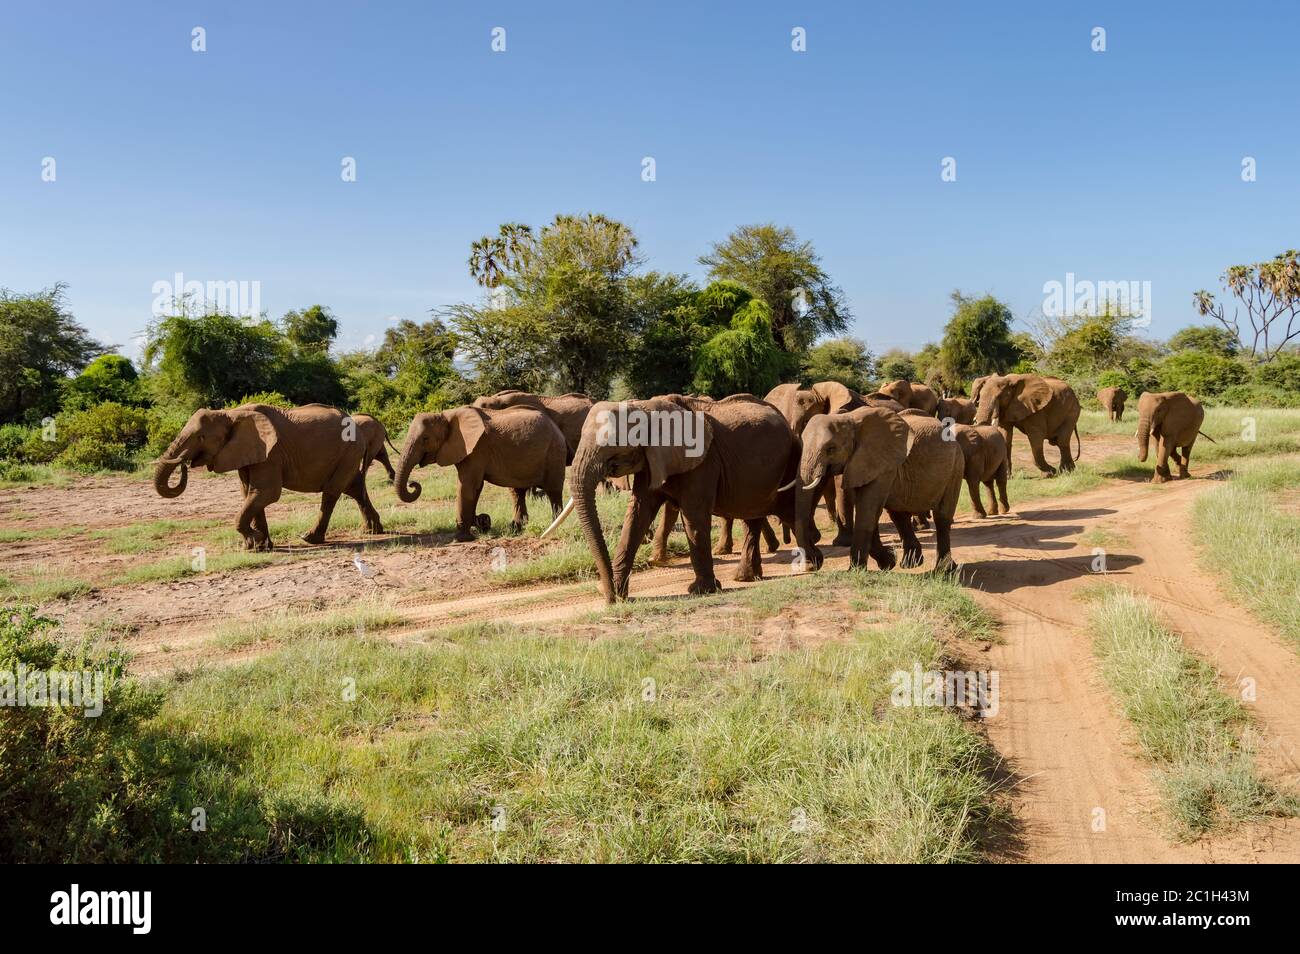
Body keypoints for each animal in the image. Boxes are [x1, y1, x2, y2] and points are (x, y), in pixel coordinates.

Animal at [154, 405, 392, 553]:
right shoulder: (248, 453)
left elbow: (266, 492)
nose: (184, 464)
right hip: (349, 453)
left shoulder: (271, 454)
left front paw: (255, 541)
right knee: (354, 487)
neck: (230, 414)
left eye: (201, 437)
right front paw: (260, 546)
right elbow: (250, 493)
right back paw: (372, 531)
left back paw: (310, 538)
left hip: (349, 450)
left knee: (332, 491)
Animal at [390, 402, 564, 540]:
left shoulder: (477, 449)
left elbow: (467, 487)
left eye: (425, 439)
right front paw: (481, 523)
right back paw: (516, 528)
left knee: (553, 490)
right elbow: (476, 488)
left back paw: (554, 524)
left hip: (554, 452)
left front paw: (461, 538)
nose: (413, 484)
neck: (447, 415)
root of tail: (555, 426)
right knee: (517, 492)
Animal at [543, 395, 795, 605]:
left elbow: (693, 516)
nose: (610, 598)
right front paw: (618, 591)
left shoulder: (702, 462)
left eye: (613, 446)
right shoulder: (650, 459)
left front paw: (701, 590)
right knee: (752, 516)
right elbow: (637, 514)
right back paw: (748, 577)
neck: (645, 407)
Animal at [790, 408, 967, 571]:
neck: (850, 418)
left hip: (956, 466)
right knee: (898, 514)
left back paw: (944, 570)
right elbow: (869, 510)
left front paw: (856, 571)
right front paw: (889, 561)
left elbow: (867, 509)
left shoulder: (882, 465)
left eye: (831, 448)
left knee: (942, 517)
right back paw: (910, 564)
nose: (816, 561)